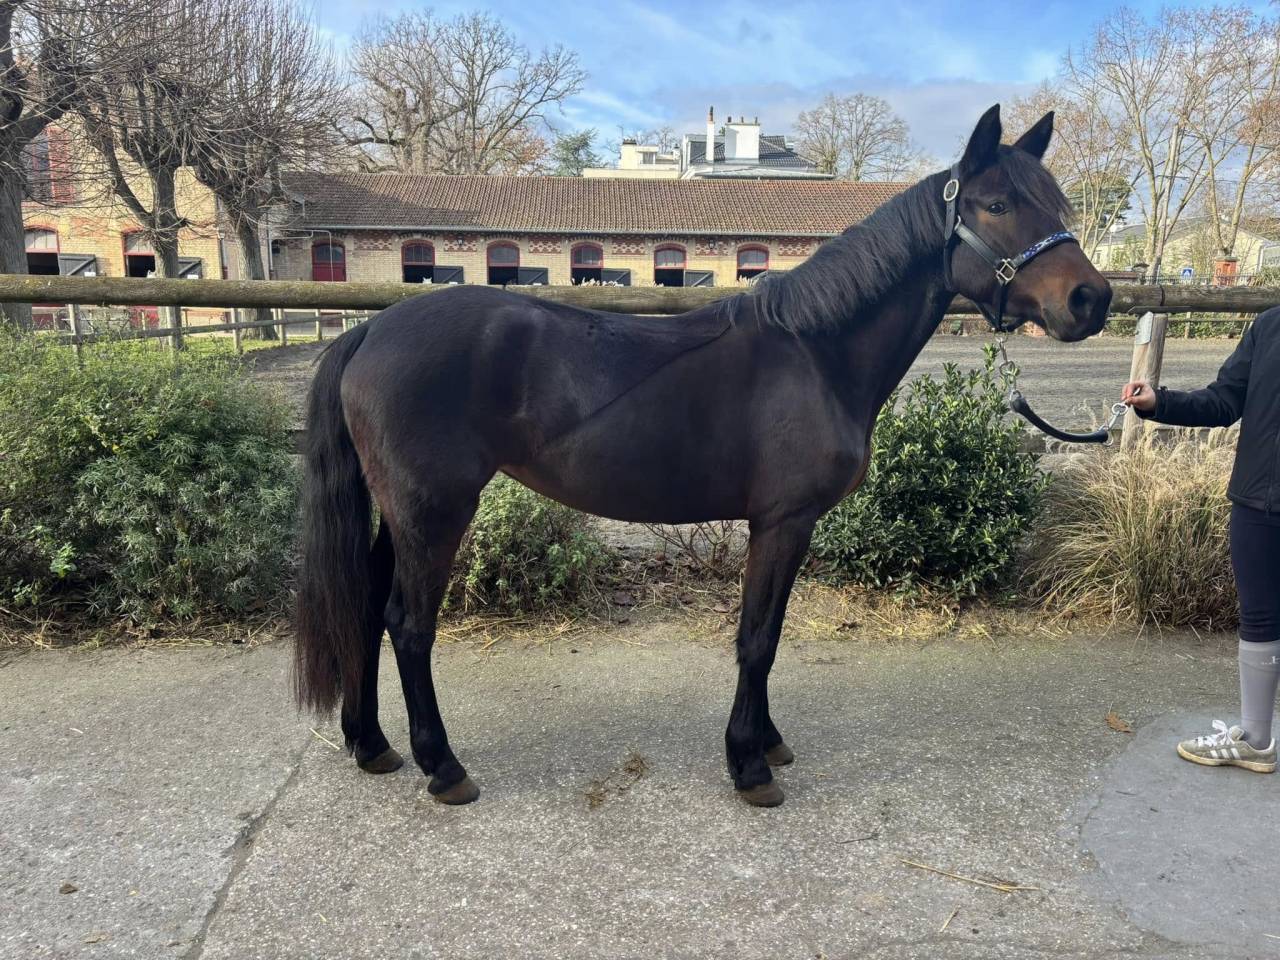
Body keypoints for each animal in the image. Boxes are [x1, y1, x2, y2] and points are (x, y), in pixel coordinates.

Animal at [294, 105, 1111, 808]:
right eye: (997, 204)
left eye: (1058, 205)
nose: (1090, 300)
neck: (815, 353)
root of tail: (368, 332)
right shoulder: (782, 521)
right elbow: (757, 639)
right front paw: (749, 764)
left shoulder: (787, 525)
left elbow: (768, 632)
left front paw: (769, 743)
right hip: (434, 512)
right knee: (408, 624)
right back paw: (442, 766)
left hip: (399, 513)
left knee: (365, 607)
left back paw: (371, 745)